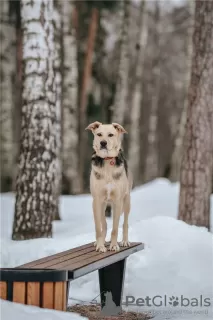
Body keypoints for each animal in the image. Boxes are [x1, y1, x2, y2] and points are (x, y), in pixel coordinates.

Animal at [85, 122, 132, 252]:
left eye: (111, 135)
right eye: (99, 134)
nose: (103, 143)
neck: (107, 161)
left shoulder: (118, 201)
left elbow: (115, 228)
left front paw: (114, 245)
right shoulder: (96, 201)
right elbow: (98, 227)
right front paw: (100, 246)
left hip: (127, 201)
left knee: (125, 223)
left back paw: (125, 241)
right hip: (102, 205)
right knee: (104, 224)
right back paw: (99, 241)